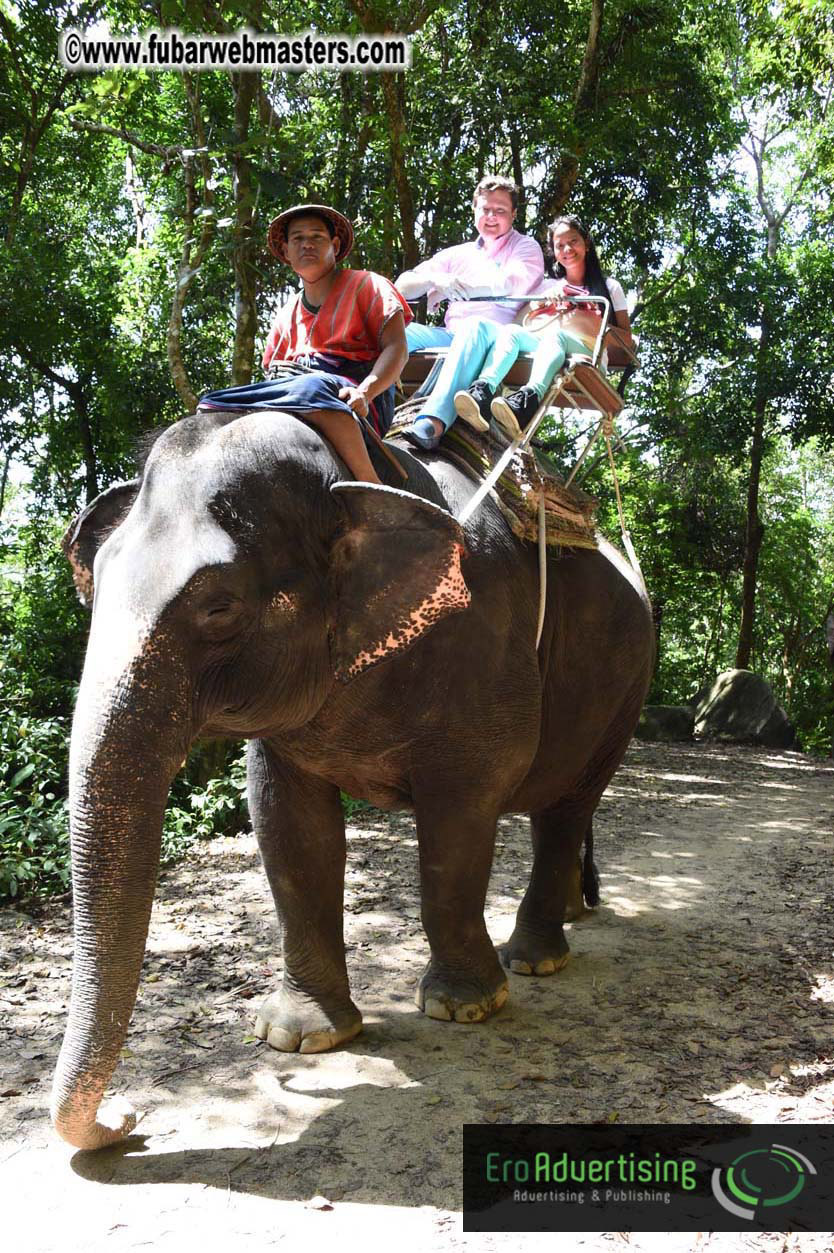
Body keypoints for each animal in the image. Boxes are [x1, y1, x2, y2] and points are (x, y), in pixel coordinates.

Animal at [51, 406, 654, 1150]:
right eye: (96, 585)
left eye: (219, 607)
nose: (128, 1119)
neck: (354, 476)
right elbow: (288, 825)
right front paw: (299, 1036)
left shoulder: (483, 648)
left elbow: (460, 817)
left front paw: (466, 1007)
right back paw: (566, 918)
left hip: (628, 684)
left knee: (567, 804)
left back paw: (534, 959)